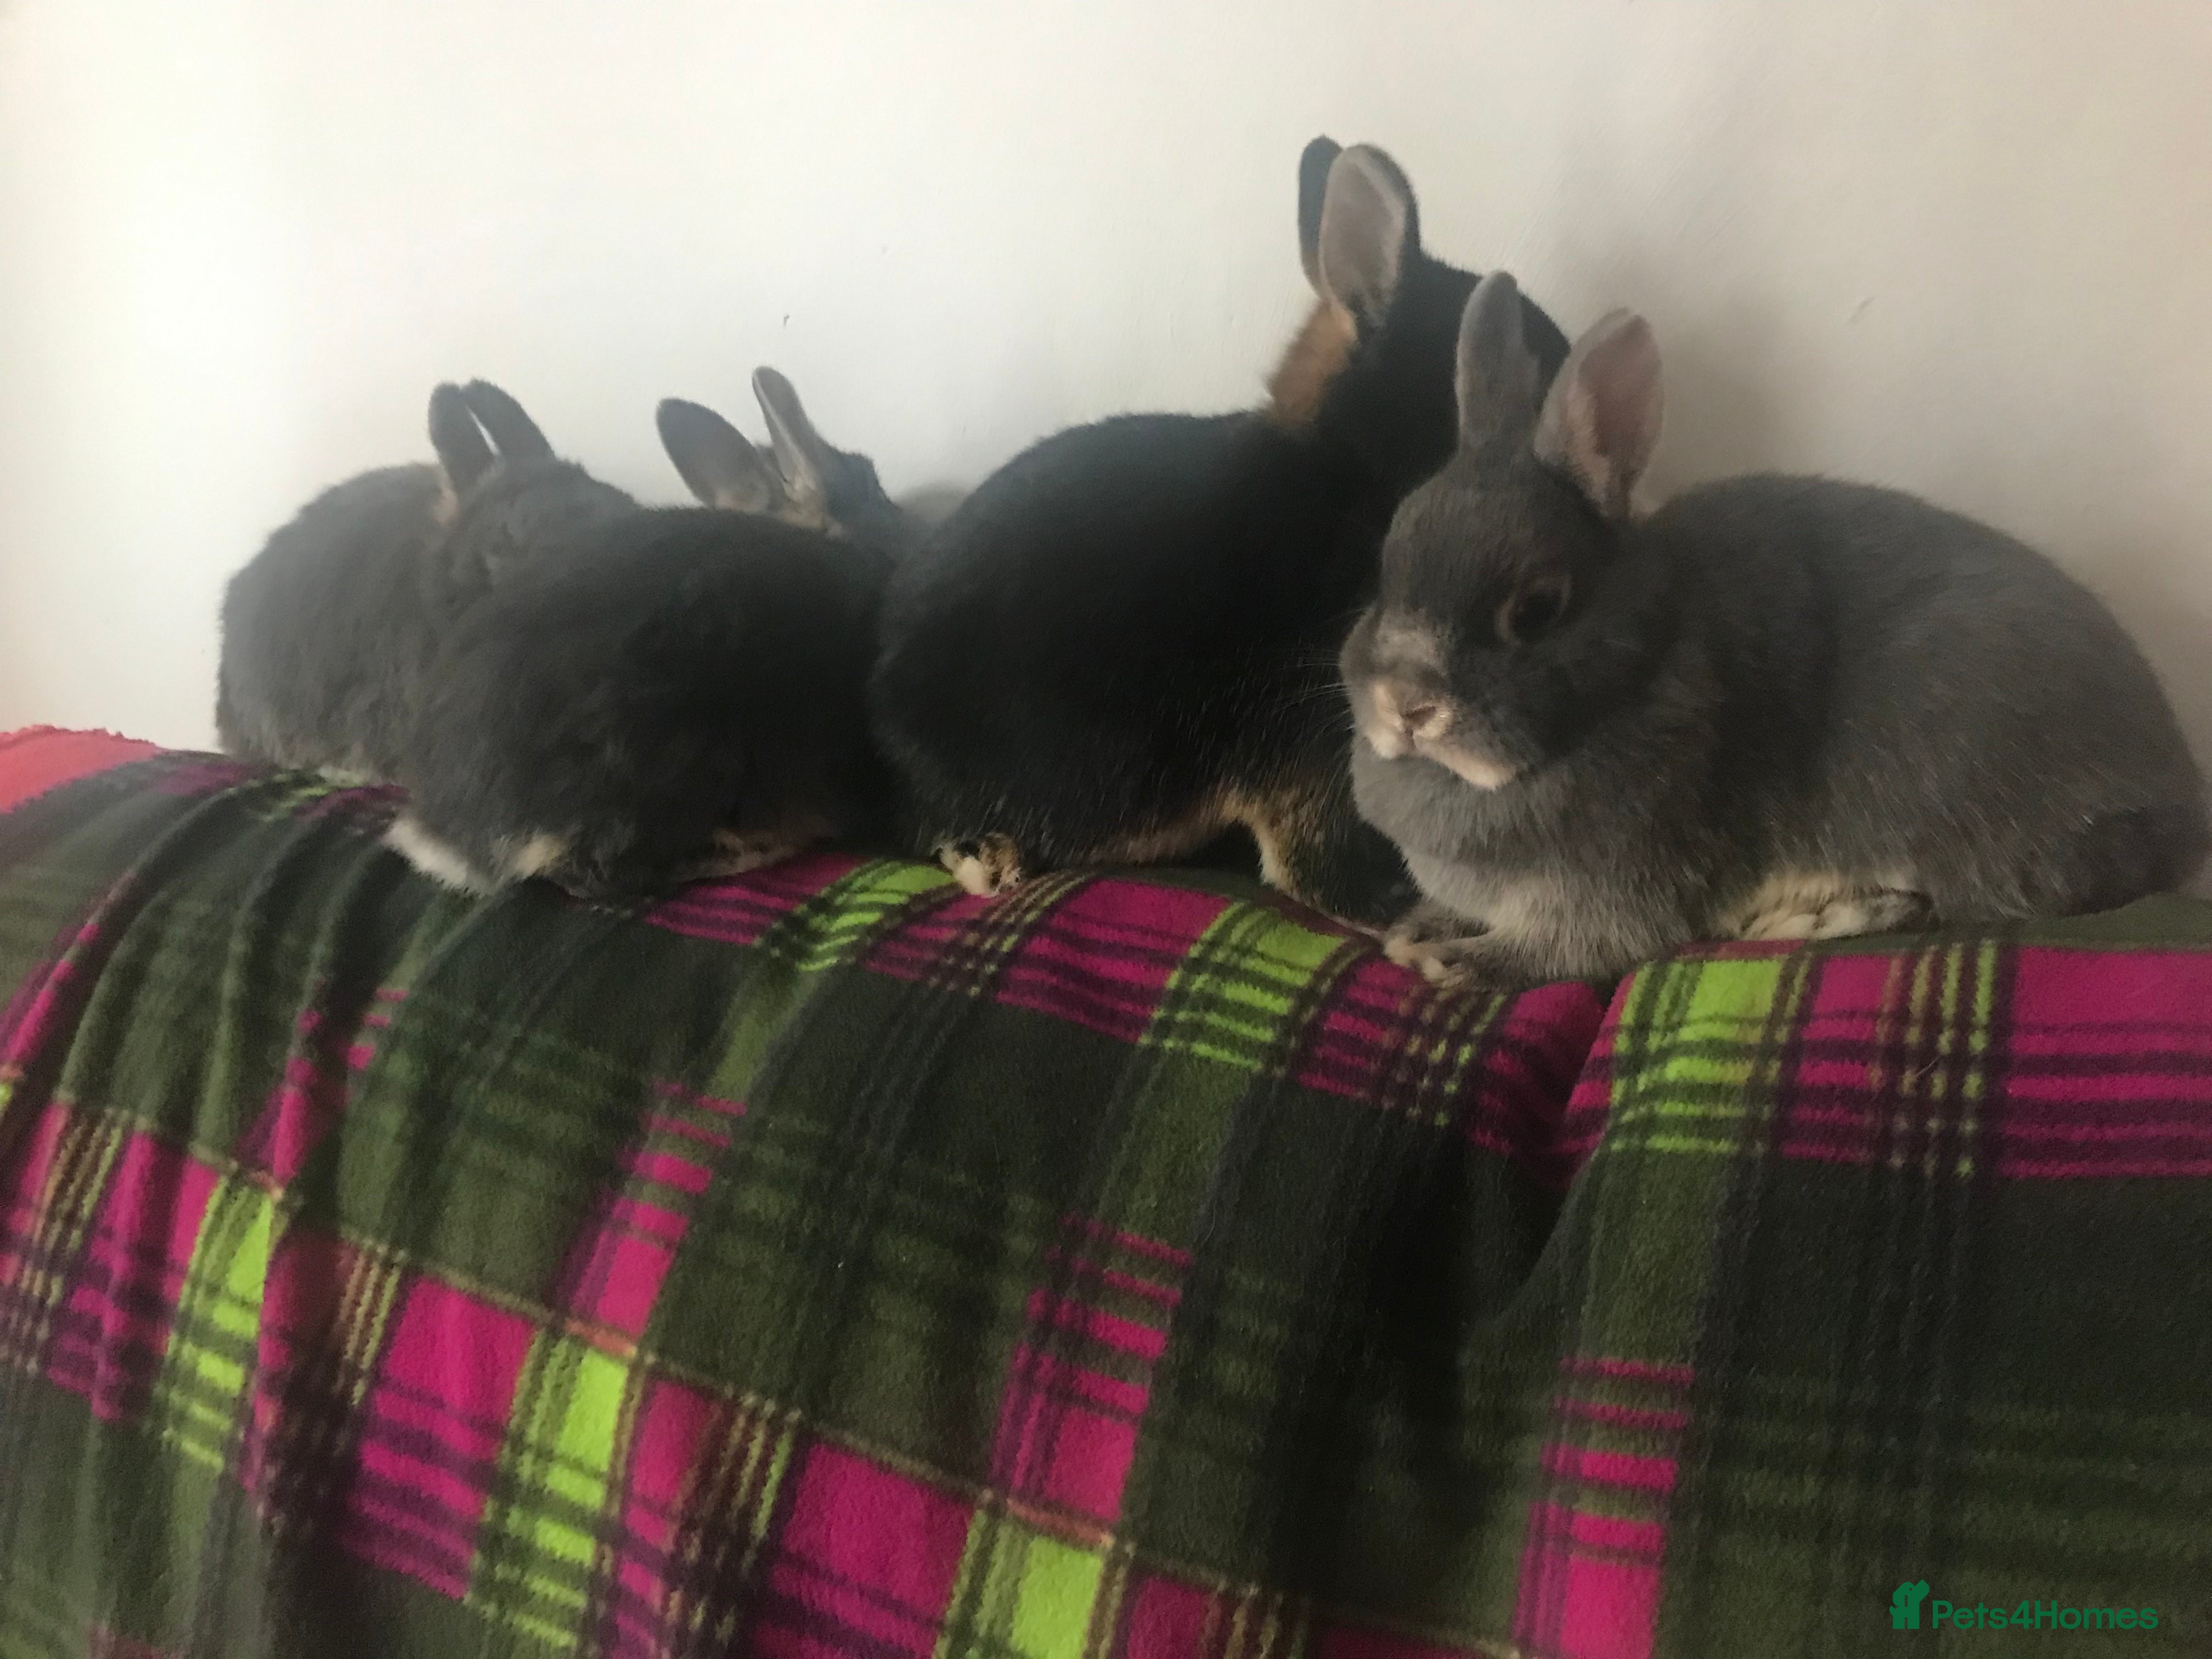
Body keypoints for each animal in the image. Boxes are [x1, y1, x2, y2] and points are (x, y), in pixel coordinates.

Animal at [1341, 270, 2211, 988]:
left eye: (1537, 608)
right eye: (1385, 565)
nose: (1406, 705)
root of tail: (2181, 810)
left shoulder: (1618, 891)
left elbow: (1576, 948)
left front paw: (1458, 961)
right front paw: (1418, 927)